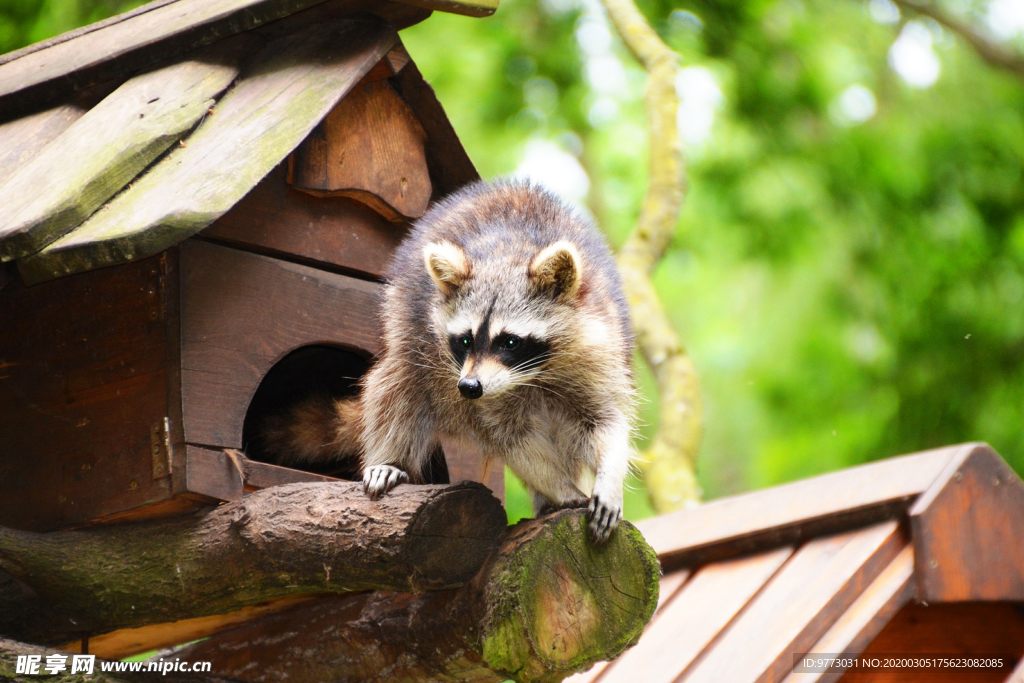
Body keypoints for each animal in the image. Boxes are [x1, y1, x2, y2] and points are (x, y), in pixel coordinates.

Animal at [260, 179, 634, 540]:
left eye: (510, 341)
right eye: (465, 340)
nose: (469, 387)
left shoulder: (598, 348)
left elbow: (605, 420)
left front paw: (608, 476)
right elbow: (511, 440)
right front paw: (561, 486)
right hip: (411, 337)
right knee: (397, 385)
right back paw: (391, 457)